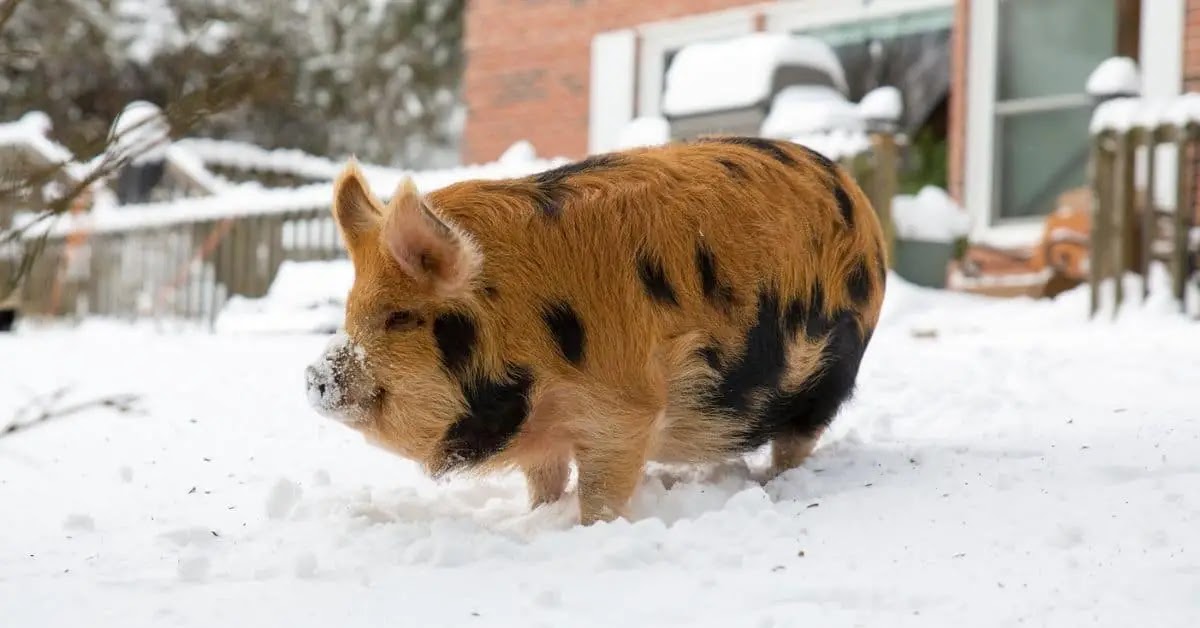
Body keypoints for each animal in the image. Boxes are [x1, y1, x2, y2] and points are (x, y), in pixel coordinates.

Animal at [305, 136, 886, 525]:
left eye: (399, 317)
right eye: (350, 312)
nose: (315, 377)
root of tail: (858, 198)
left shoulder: (625, 408)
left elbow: (603, 489)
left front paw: (592, 530)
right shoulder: (543, 434)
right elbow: (545, 482)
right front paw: (537, 518)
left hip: (829, 373)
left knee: (797, 440)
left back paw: (775, 485)